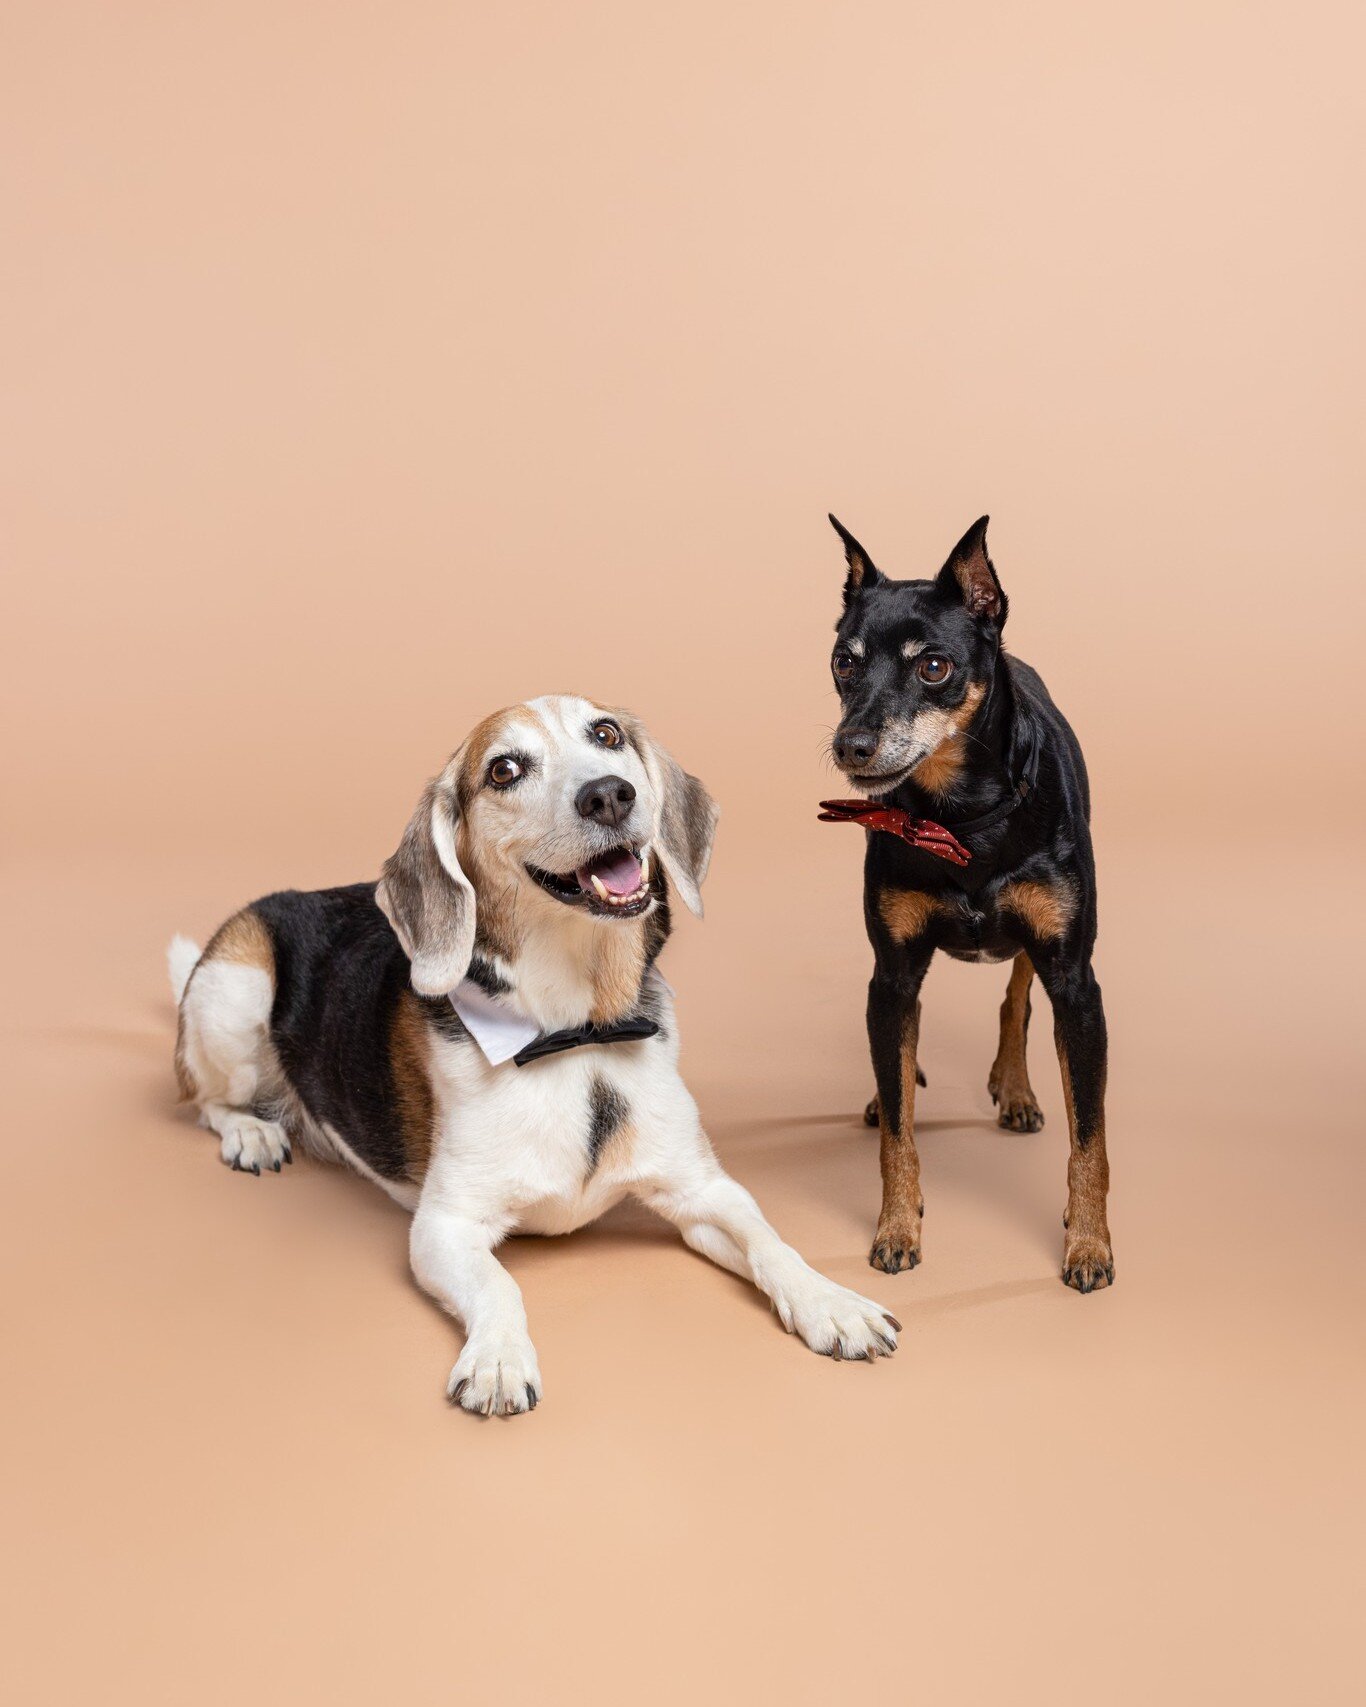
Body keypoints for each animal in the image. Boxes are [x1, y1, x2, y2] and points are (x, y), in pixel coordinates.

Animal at [170, 693, 901, 1413]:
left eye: (605, 734)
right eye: (504, 770)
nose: (608, 794)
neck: (581, 1032)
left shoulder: (704, 1190)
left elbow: (771, 1241)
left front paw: (831, 1303)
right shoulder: (443, 1227)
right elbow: (500, 1284)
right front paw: (498, 1359)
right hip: (238, 988)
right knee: (204, 1099)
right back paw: (251, 1132)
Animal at [823, 518, 1106, 1290]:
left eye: (934, 667)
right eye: (844, 663)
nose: (851, 744)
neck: (964, 815)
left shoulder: (1077, 981)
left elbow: (1090, 1135)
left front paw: (1090, 1245)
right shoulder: (890, 972)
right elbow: (898, 1129)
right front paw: (896, 1228)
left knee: (1016, 996)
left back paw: (1016, 1090)